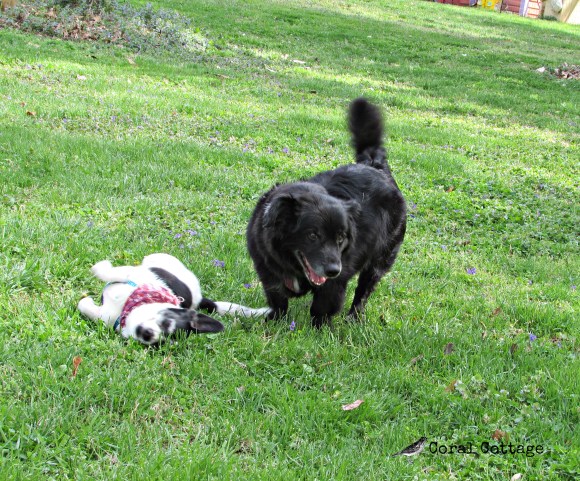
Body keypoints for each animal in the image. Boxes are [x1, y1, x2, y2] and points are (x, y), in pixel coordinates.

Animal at [78, 253, 271, 345]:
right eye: (166, 323)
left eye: (160, 344)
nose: (149, 335)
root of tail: (199, 298)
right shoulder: (135, 275)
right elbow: (112, 272)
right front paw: (100, 267)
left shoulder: (108, 318)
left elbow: (84, 306)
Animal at [247, 98, 406, 327]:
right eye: (313, 235)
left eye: (341, 238)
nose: (333, 270)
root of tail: (375, 165)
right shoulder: (268, 273)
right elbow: (278, 302)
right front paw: (275, 323)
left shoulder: (336, 282)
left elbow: (321, 308)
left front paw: (319, 330)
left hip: (380, 259)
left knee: (363, 291)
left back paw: (353, 318)